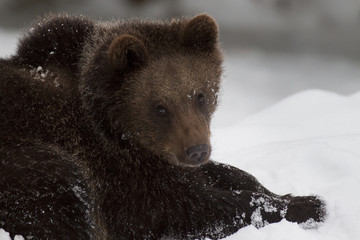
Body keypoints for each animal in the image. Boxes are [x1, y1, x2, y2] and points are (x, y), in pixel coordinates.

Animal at [0, 14, 326, 239]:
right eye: (160, 107)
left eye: (200, 95)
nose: (197, 150)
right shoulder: (115, 173)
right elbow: (188, 209)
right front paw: (309, 205)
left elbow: (225, 174)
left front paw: (283, 193)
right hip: (25, 164)